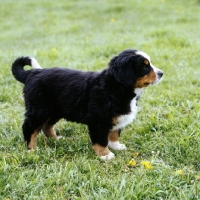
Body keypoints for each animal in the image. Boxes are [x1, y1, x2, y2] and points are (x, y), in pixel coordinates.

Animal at [11, 49, 162, 160]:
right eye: (144, 66)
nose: (161, 73)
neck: (116, 86)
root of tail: (31, 73)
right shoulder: (99, 121)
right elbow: (101, 140)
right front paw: (105, 155)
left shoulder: (117, 117)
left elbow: (114, 134)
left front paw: (116, 146)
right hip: (38, 110)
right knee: (29, 128)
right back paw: (31, 149)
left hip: (55, 110)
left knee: (46, 126)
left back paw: (56, 139)